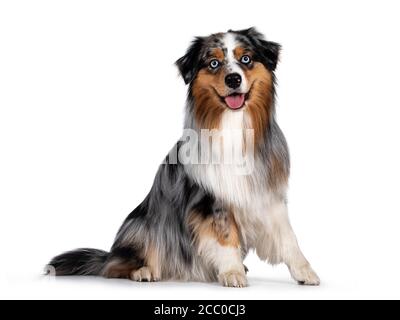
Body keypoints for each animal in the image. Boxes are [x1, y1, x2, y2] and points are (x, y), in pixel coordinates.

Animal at [48, 27, 320, 288]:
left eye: (246, 59)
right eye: (214, 63)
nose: (233, 79)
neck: (233, 125)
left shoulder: (267, 194)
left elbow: (288, 237)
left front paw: (305, 271)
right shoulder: (210, 200)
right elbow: (225, 237)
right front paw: (232, 272)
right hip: (143, 225)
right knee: (117, 265)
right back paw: (143, 271)